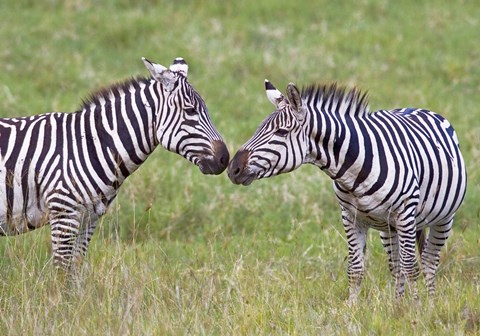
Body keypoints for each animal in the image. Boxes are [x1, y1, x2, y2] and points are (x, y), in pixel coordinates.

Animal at [0, 55, 230, 270]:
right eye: (190, 111)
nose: (225, 159)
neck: (91, 145)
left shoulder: (89, 217)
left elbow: (76, 266)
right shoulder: (63, 212)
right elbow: (62, 270)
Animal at [228, 79, 464, 302]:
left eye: (281, 132)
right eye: (258, 129)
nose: (232, 169)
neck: (355, 170)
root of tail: (416, 108)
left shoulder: (405, 213)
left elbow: (411, 268)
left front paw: (416, 311)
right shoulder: (351, 217)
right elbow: (356, 269)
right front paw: (352, 309)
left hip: (442, 218)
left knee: (428, 262)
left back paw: (429, 306)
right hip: (389, 228)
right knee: (396, 267)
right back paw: (398, 306)